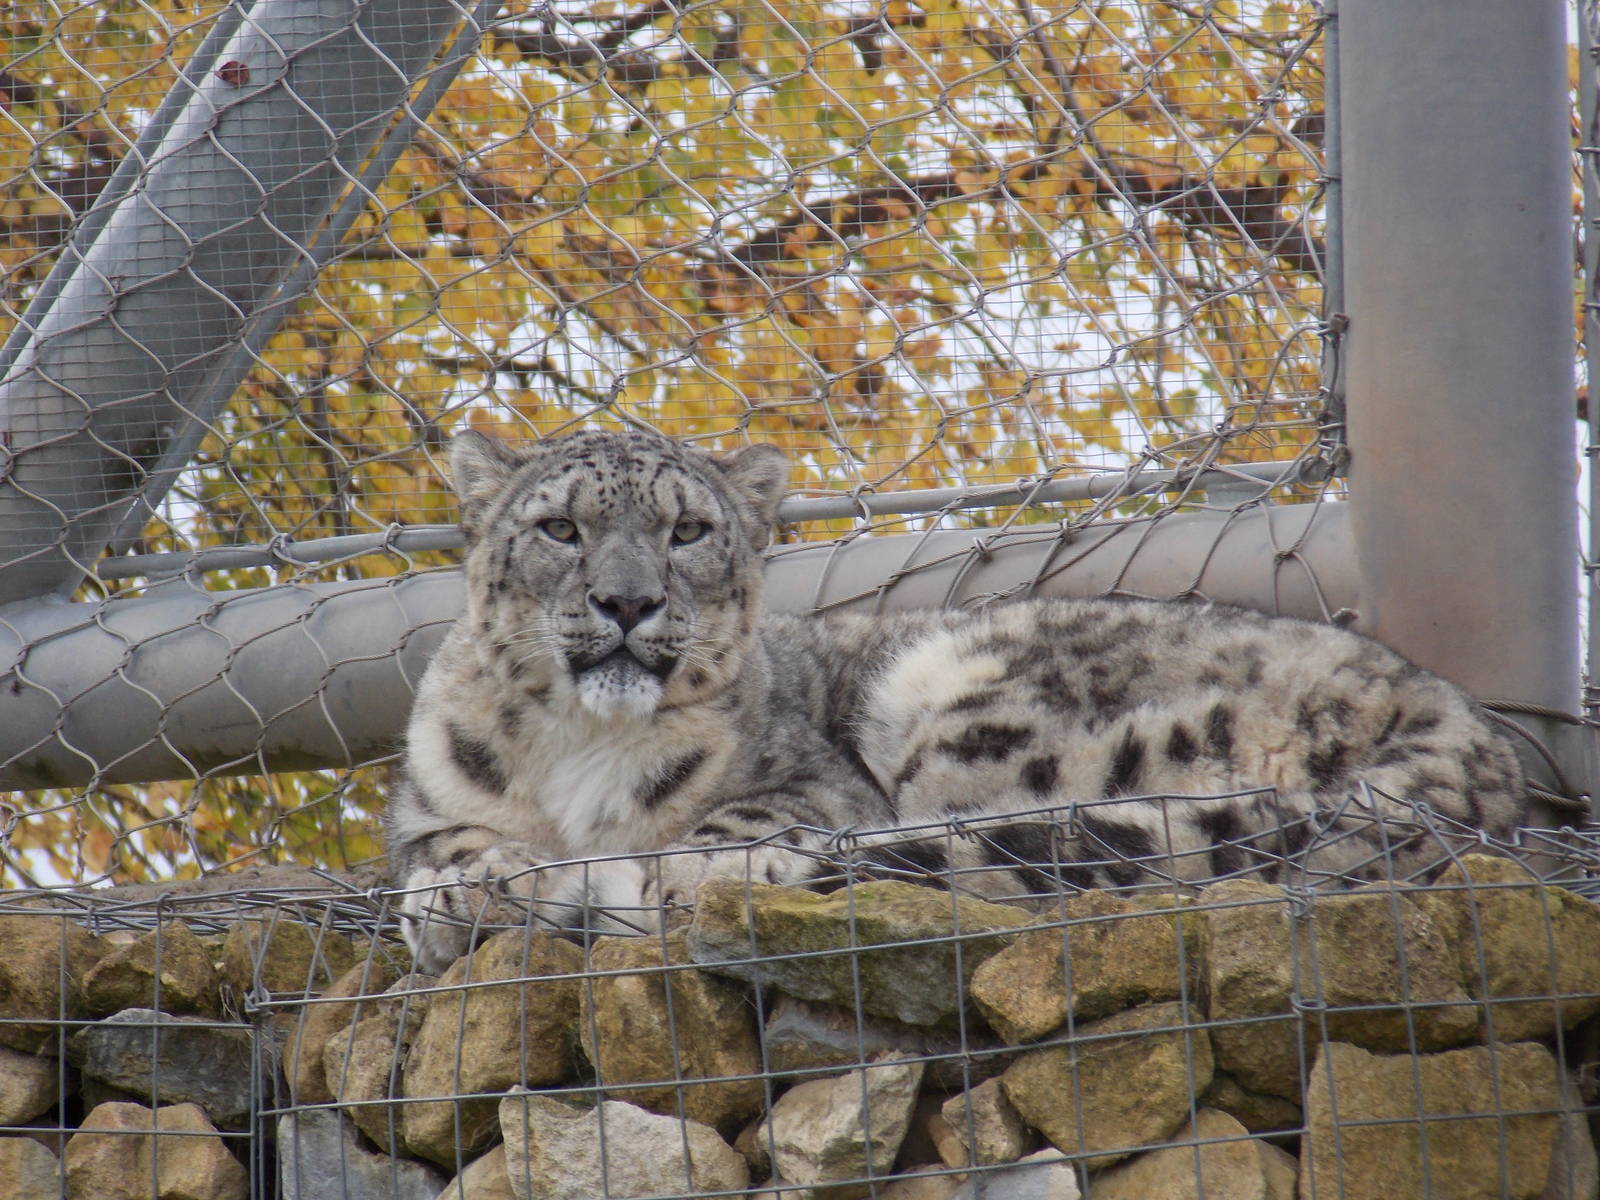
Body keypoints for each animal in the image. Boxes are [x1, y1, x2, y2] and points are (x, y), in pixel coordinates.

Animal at [386, 428, 1525, 972]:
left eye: (688, 531)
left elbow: (750, 814)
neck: (581, 744)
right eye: (560, 529)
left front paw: (686, 870)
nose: (627, 602)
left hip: (974, 720)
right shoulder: (432, 803)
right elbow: (441, 851)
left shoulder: (820, 783)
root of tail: (1473, 727)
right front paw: (466, 890)